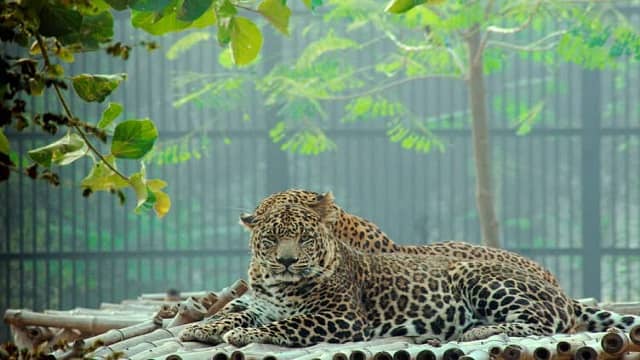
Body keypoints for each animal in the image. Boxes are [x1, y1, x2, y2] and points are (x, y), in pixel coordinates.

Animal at [180, 195, 640, 348]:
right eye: (273, 239)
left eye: (305, 238)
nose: (288, 260)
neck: (277, 284)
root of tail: (562, 292)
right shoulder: (258, 304)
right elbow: (234, 313)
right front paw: (201, 327)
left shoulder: (341, 318)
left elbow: (285, 325)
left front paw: (242, 336)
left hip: (480, 278)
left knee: (544, 324)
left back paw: (476, 331)